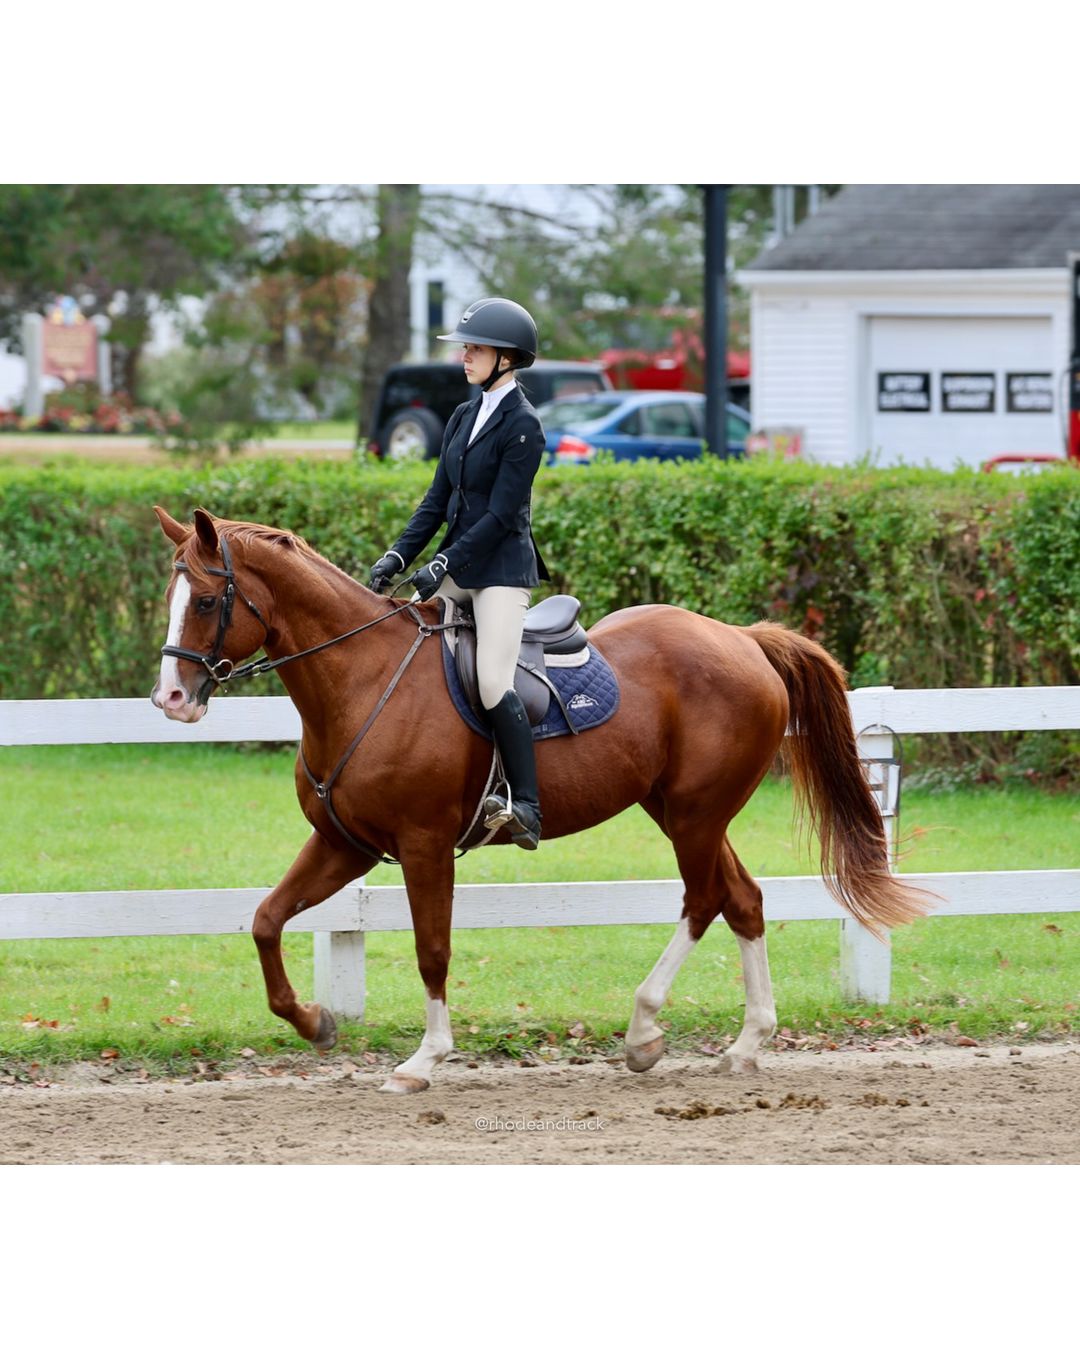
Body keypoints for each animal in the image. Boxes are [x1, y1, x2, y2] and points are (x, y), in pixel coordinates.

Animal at [151, 506, 931, 1093]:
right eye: (172, 599)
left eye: (211, 600)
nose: (172, 700)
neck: (363, 679)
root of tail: (741, 638)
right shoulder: (346, 844)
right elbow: (266, 920)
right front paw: (315, 1022)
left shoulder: (424, 847)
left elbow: (432, 949)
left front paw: (423, 1060)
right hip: (683, 810)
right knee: (742, 900)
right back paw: (744, 1043)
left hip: (695, 815)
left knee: (707, 898)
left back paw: (645, 1028)